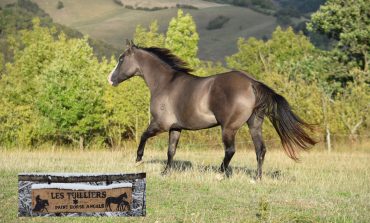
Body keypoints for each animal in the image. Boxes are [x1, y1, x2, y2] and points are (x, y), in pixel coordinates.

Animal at [106, 40, 316, 179]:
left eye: (121, 59)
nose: (110, 79)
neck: (165, 83)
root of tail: (251, 82)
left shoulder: (161, 124)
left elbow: (143, 136)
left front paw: (138, 159)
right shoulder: (175, 128)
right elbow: (171, 151)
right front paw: (165, 172)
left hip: (229, 128)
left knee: (230, 150)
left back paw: (220, 174)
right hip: (254, 124)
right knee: (260, 150)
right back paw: (257, 178)